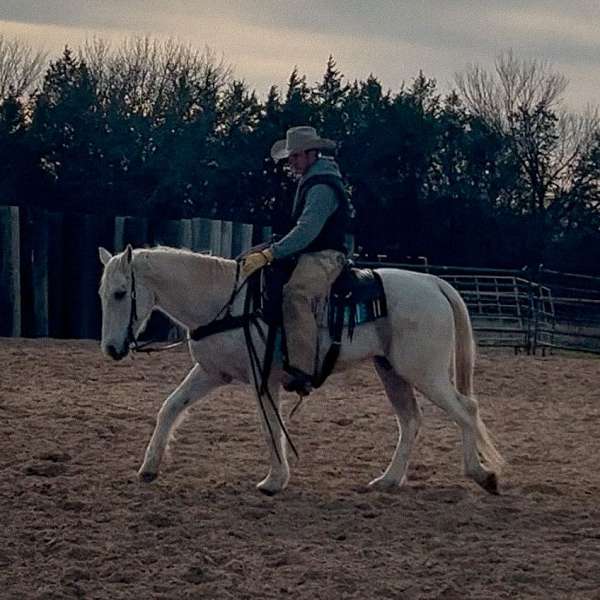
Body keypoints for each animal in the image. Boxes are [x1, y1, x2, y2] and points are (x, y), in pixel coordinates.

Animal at [97, 246, 502, 494]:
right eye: (102, 293)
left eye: (120, 292)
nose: (112, 350)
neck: (226, 302)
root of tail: (433, 282)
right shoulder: (211, 372)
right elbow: (171, 407)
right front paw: (149, 467)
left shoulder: (262, 378)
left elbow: (269, 427)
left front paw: (275, 480)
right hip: (392, 372)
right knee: (411, 421)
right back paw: (388, 480)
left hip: (424, 373)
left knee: (466, 409)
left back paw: (482, 474)